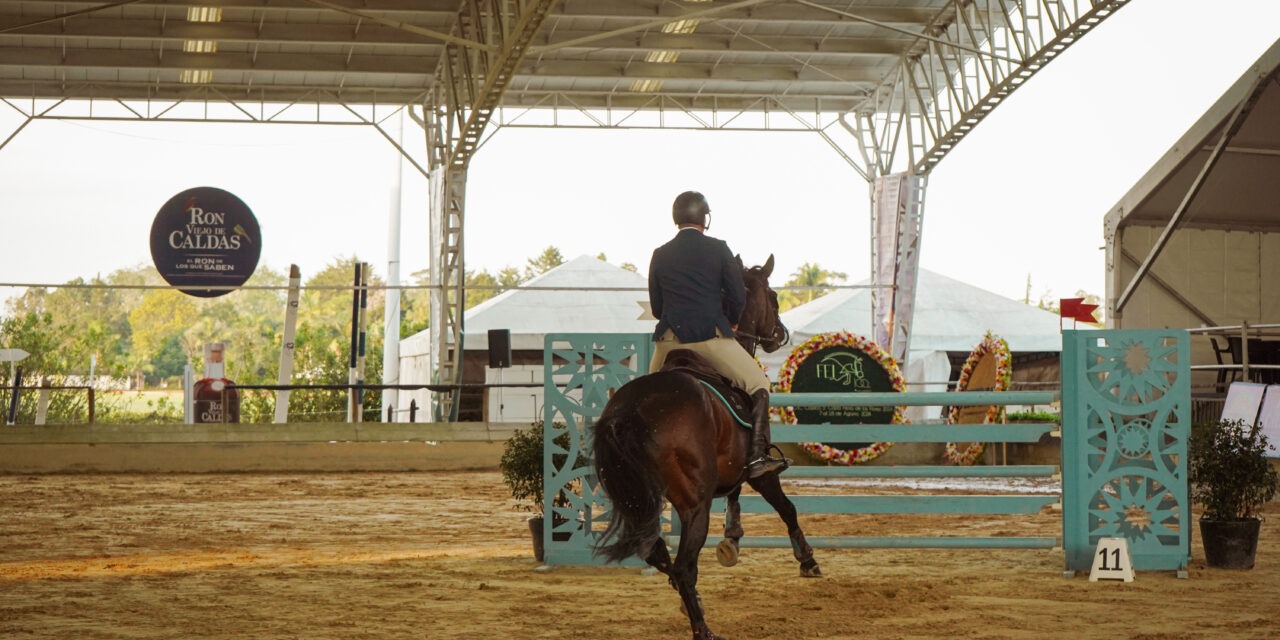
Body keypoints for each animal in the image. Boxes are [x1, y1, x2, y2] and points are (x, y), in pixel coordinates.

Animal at [588, 254, 819, 640]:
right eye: (773, 297)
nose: (779, 334)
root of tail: (629, 411)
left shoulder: (730, 471)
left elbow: (735, 496)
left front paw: (732, 539)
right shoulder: (760, 474)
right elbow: (787, 508)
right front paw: (808, 560)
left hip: (639, 502)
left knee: (657, 553)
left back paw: (691, 602)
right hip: (694, 504)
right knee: (682, 565)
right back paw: (703, 628)